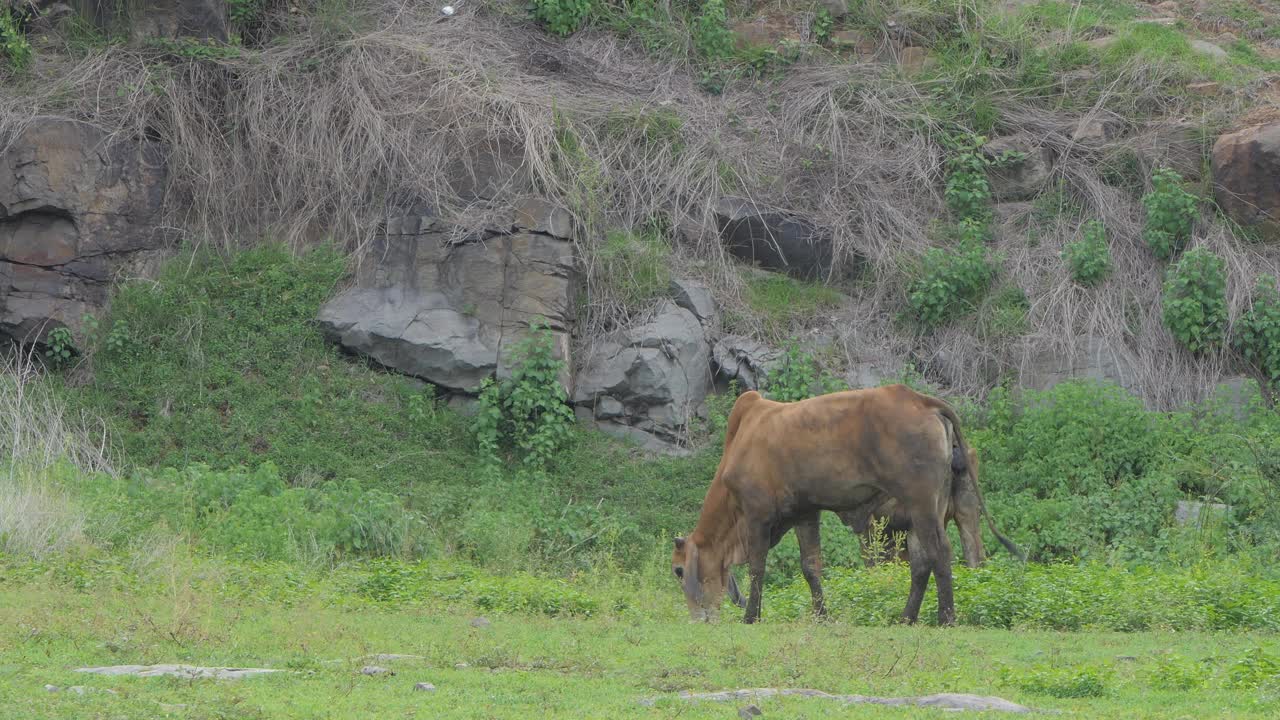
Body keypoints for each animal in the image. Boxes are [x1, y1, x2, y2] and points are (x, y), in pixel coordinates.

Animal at [670, 381, 967, 622]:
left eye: (678, 570)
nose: (697, 619)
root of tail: (921, 400)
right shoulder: (805, 513)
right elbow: (810, 567)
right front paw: (821, 615)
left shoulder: (756, 516)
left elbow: (756, 568)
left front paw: (751, 617)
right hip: (923, 510)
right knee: (921, 563)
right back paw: (907, 617)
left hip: (921, 504)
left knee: (940, 552)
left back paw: (946, 618)